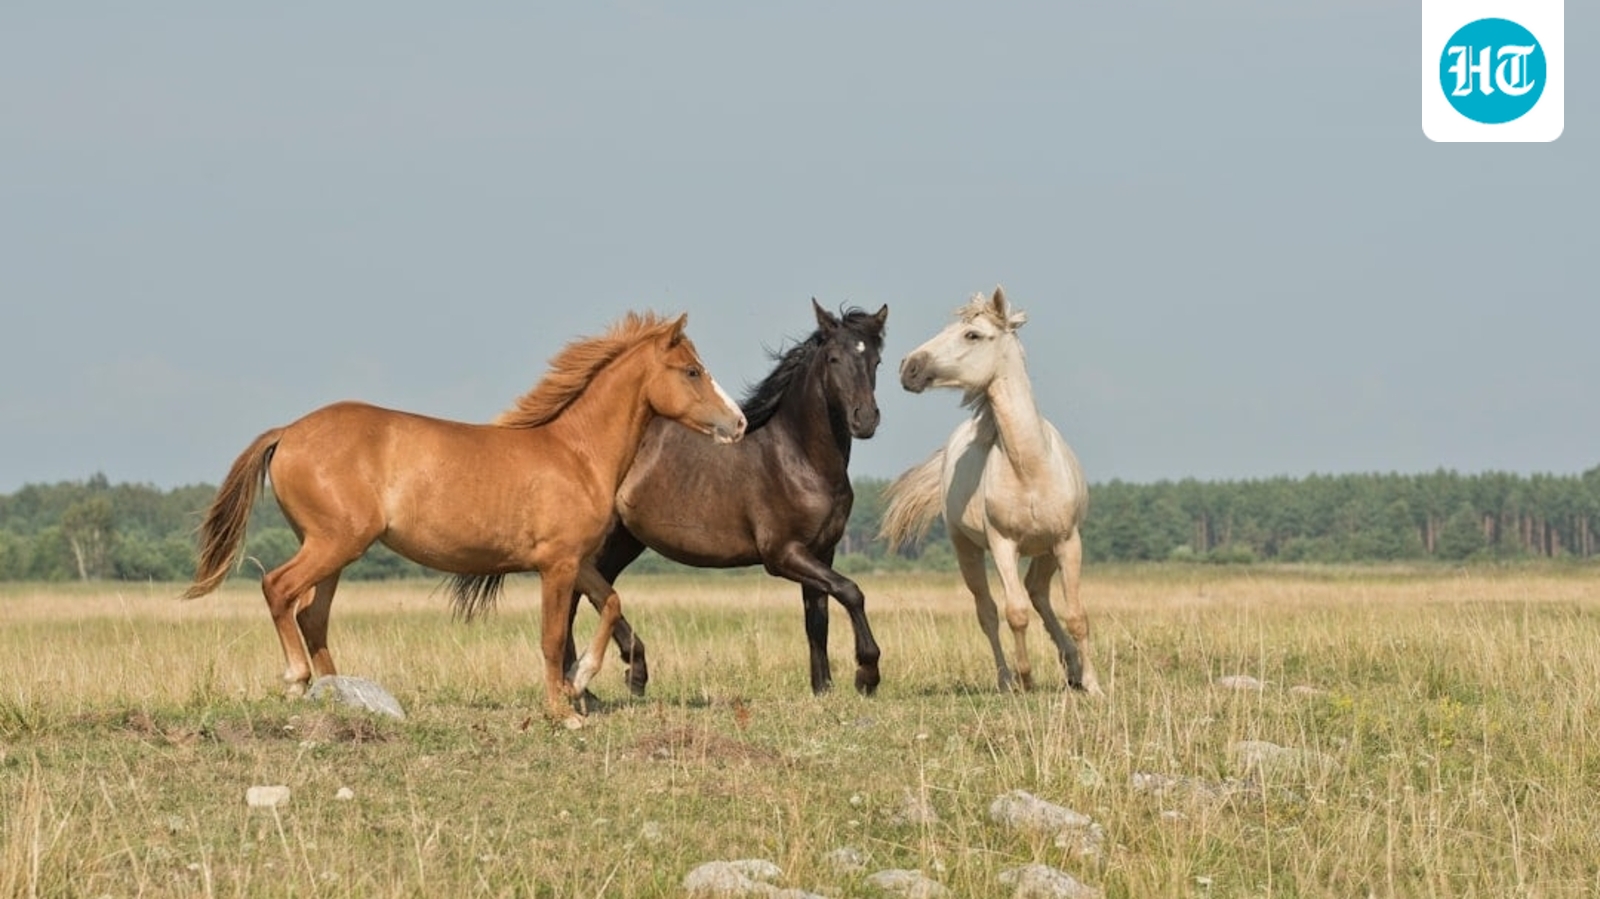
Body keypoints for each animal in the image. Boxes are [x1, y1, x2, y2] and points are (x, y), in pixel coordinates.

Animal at [184, 312, 747, 727]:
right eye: (692, 370)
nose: (738, 423)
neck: (576, 454)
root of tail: (289, 431)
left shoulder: (577, 561)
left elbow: (611, 603)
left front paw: (582, 680)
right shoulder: (556, 566)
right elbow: (550, 637)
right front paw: (563, 711)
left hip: (335, 551)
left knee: (311, 615)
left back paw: (341, 693)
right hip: (333, 543)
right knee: (279, 589)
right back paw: (297, 680)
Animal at [457, 300, 888, 697]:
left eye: (876, 360)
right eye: (833, 358)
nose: (865, 420)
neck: (797, 457)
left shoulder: (821, 551)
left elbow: (818, 618)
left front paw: (823, 688)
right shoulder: (782, 554)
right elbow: (851, 591)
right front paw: (866, 674)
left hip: (622, 541)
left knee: (585, 595)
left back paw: (606, 679)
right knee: (578, 598)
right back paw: (612, 677)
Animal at [880, 287, 1100, 694]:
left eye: (973, 334)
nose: (908, 367)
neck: (1030, 468)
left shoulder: (1068, 541)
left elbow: (1077, 614)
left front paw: (1093, 684)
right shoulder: (1002, 545)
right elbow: (1015, 613)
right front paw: (1026, 679)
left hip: (1046, 550)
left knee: (1038, 592)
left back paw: (1072, 667)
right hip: (966, 549)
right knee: (989, 611)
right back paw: (1006, 679)